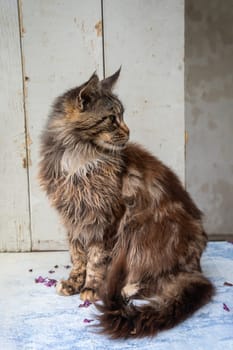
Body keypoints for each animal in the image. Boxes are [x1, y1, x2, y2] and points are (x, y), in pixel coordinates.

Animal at [39, 69, 214, 340]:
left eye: (122, 116)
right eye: (112, 119)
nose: (129, 131)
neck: (79, 160)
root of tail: (196, 269)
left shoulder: (106, 220)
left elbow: (95, 260)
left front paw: (90, 287)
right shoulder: (73, 220)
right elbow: (78, 257)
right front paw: (73, 282)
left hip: (140, 235)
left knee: (155, 281)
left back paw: (125, 289)